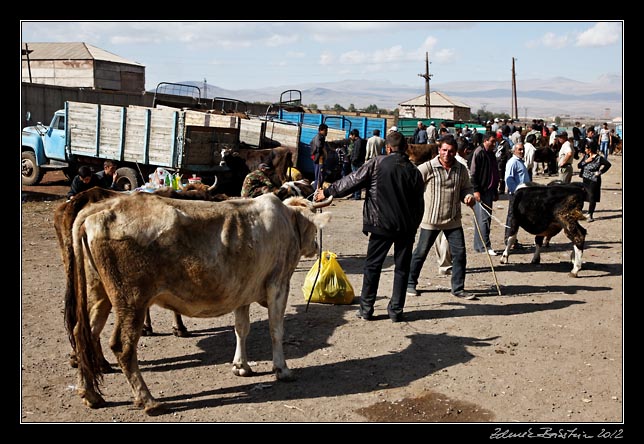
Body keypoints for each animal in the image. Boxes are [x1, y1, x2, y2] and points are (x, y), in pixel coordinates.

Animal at [64, 193, 332, 414]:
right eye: (312, 229)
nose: (316, 246)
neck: (287, 222)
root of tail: (102, 208)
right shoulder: (278, 284)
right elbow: (276, 330)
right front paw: (282, 370)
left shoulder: (242, 291)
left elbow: (241, 329)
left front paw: (241, 366)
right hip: (132, 300)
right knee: (122, 346)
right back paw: (148, 400)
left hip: (100, 293)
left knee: (83, 334)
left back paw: (90, 394)